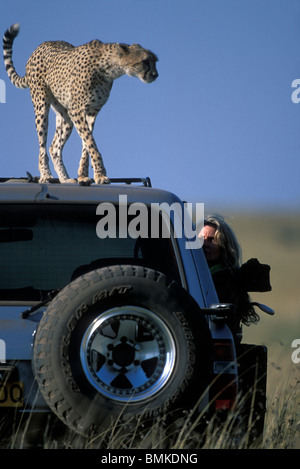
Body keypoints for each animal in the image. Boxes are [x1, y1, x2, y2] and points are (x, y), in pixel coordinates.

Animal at [2, 23, 158, 184]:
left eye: (155, 62)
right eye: (146, 62)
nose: (155, 75)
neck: (109, 68)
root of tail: (40, 46)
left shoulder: (91, 111)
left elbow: (87, 145)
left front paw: (84, 175)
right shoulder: (77, 110)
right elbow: (91, 143)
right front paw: (100, 174)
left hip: (65, 115)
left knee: (54, 147)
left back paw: (65, 179)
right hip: (41, 104)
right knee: (42, 145)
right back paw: (46, 175)